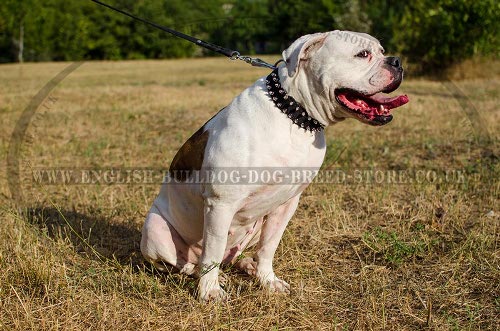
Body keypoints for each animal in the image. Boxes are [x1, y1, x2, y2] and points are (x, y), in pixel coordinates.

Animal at [141, 30, 410, 300]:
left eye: (382, 51)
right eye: (363, 54)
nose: (397, 61)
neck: (294, 114)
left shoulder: (286, 204)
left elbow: (269, 247)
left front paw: (267, 280)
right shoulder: (221, 204)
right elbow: (213, 251)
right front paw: (210, 292)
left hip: (254, 225)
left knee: (233, 255)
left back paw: (246, 265)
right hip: (155, 230)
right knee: (186, 262)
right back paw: (202, 273)